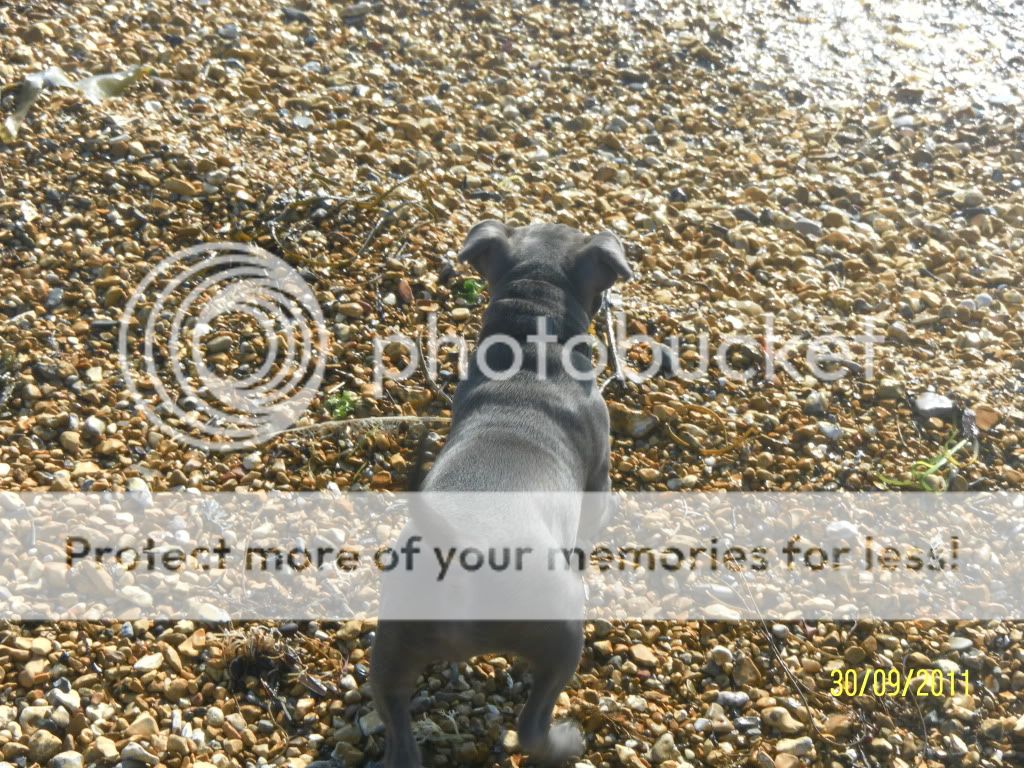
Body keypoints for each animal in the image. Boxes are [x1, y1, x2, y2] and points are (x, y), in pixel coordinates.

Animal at [370, 219, 630, 765]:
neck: (531, 349)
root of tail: (457, 550)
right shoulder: (598, 479)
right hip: (560, 635)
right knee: (533, 722)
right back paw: (564, 741)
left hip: (391, 651)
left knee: (400, 736)